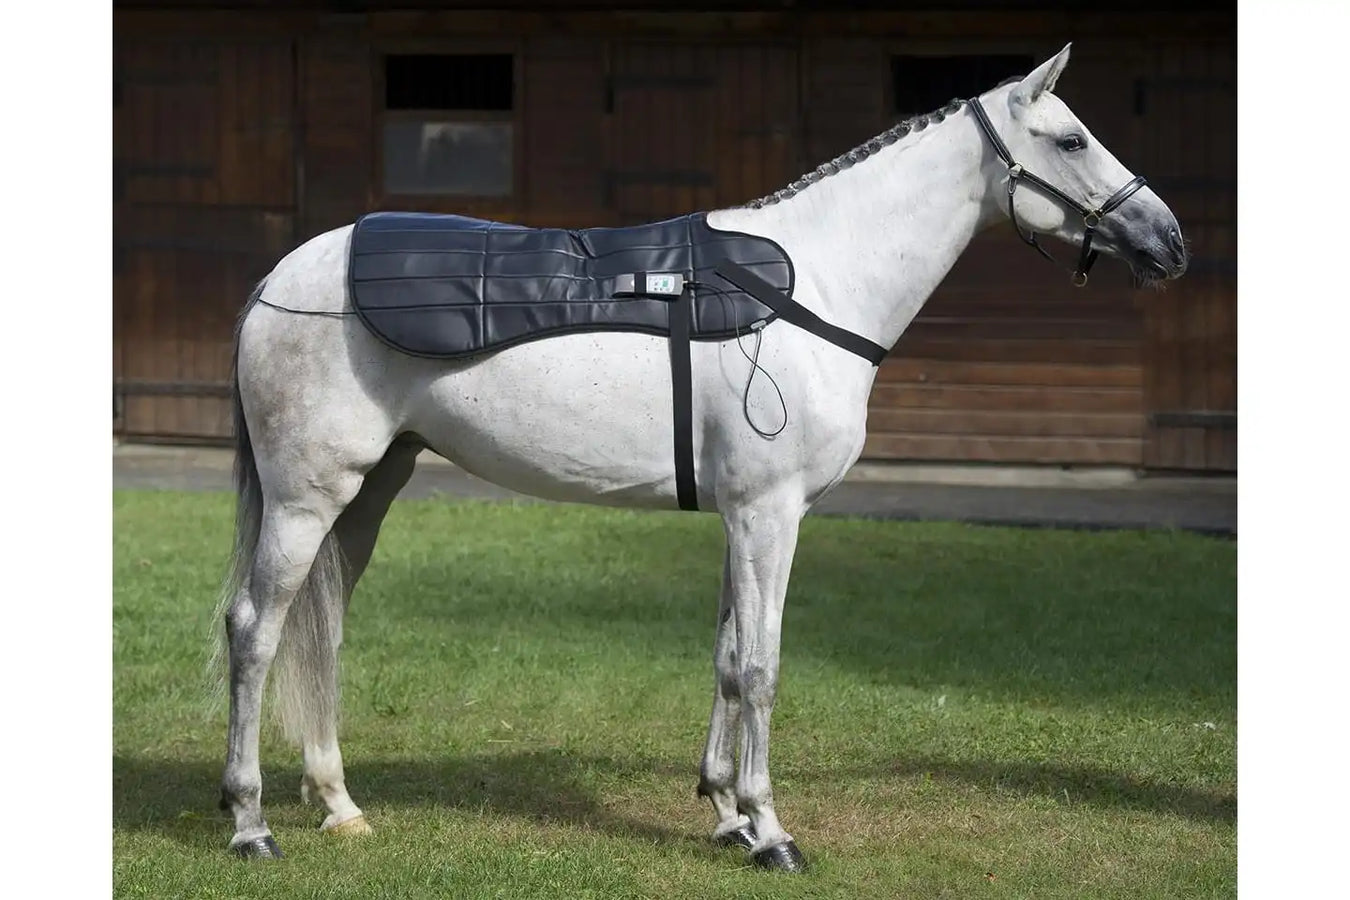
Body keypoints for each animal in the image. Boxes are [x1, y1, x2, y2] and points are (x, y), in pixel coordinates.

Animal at [213, 44, 1188, 871]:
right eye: (1072, 138)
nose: (1170, 240)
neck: (812, 284)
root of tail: (275, 282)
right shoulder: (769, 513)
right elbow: (760, 666)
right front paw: (772, 830)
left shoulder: (742, 516)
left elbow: (726, 658)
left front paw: (724, 813)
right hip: (308, 497)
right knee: (255, 630)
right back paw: (251, 822)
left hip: (369, 492)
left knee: (321, 628)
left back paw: (339, 805)